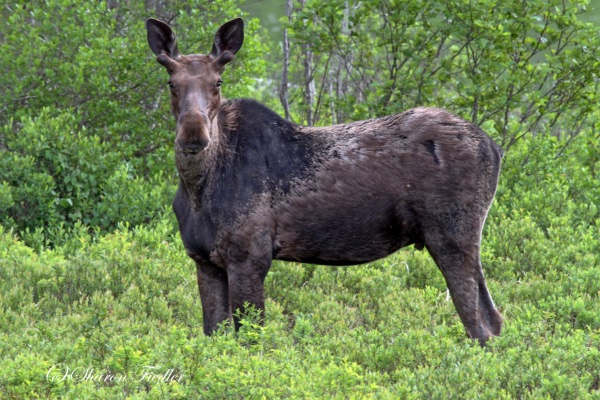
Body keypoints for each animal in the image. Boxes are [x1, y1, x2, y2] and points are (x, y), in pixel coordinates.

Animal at [148, 18, 504, 344]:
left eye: (218, 81)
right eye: (171, 83)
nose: (193, 133)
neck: (198, 189)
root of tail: (494, 147)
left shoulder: (249, 256)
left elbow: (251, 341)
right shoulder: (203, 260)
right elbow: (213, 335)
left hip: (452, 235)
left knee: (481, 326)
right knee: (494, 319)